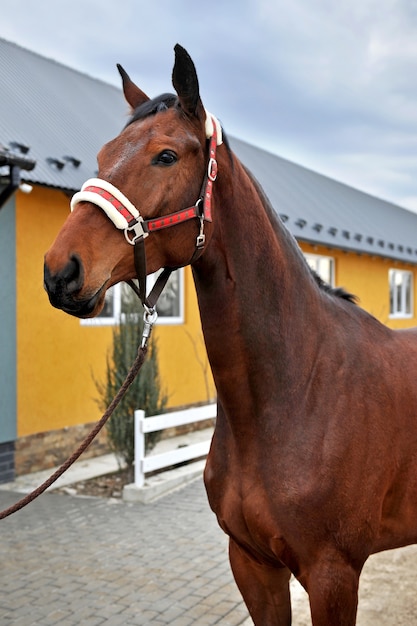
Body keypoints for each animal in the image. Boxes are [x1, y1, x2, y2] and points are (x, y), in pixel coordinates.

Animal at [43, 45, 416, 624]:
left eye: (167, 156)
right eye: (103, 155)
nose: (61, 271)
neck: (300, 389)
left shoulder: (334, 576)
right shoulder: (252, 564)